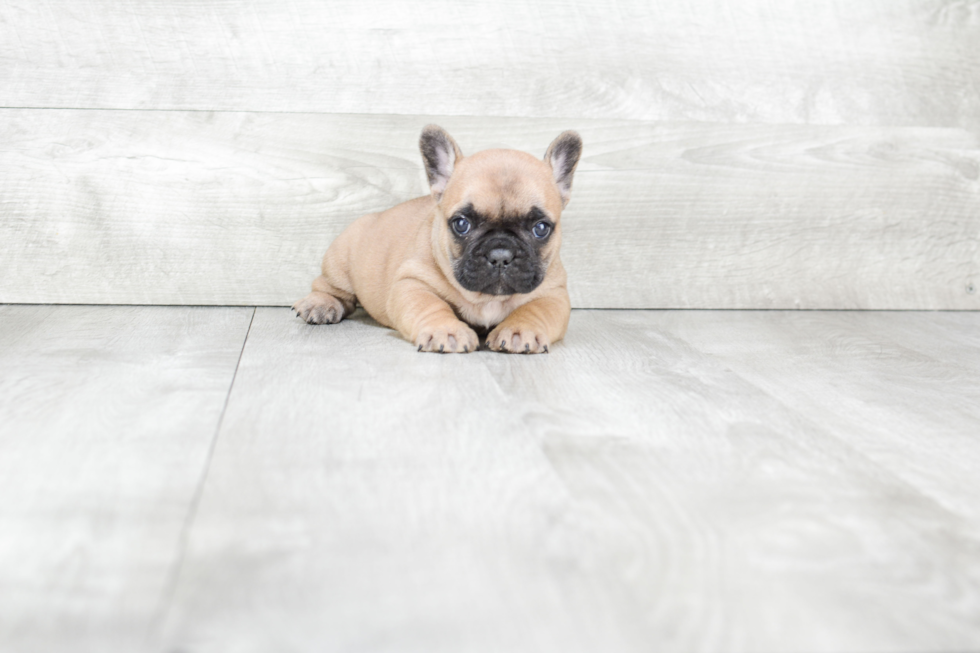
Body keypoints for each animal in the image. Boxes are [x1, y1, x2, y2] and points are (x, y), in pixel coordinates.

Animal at [290, 124, 580, 354]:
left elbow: (535, 309)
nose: (500, 255)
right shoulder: (412, 283)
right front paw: (447, 330)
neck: (486, 299)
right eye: (461, 224)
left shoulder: (553, 292)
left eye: (541, 228)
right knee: (329, 286)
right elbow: (431, 305)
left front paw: (520, 330)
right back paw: (321, 304)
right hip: (341, 259)